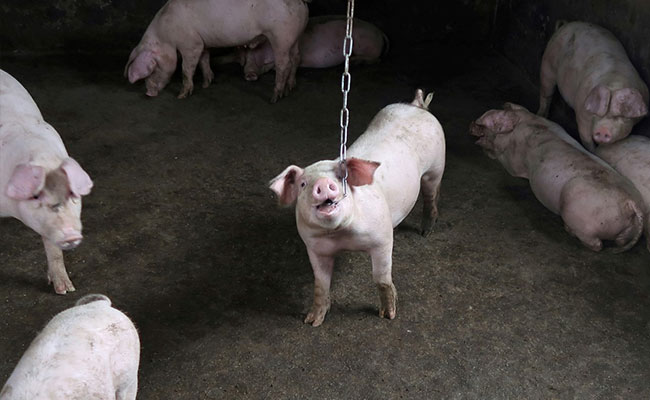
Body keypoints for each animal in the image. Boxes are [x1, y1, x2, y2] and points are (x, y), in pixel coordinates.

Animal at [124, 0, 309, 103]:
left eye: (151, 71)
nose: (148, 93)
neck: (166, 35)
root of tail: (301, 3)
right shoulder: (202, 42)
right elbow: (204, 60)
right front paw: (206, 84)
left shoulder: (190, 43)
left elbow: (186, 69)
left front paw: (181, 96)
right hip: (295, 37)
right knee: (297, 58)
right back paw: (290, 88)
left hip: (281, 36)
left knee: (284, 63)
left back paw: (274, 98)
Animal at [216, 15, 389, 81]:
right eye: (244, 59)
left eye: (253, 54)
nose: (250, 75)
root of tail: (380, 32)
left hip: (366, 44)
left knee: (377, 59)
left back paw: (355, 61)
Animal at [269, 89, 445, 326]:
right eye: (303, 184)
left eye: (340, 177)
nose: (322, 183)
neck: (341, 236)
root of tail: (416, 106)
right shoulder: (314, 247)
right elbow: (320, 284)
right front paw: (312, 321)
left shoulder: (382, 238)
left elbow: (381, 279)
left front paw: (388, 315)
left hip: (436, 167)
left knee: (431, 195)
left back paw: (426, 231)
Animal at [471, 103, 645, 252]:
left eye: (488, 122)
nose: (471, 124)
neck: (526, 121)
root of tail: (629, 203)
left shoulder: (514, 162)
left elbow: (504, 162)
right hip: (626, 231)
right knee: (619, 241)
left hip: (581, 217)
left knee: (596, 245)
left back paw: (569, 230)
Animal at [537, 21, 649, 151]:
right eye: (597, 113)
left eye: (623, 116)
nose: (602, 130)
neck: (615, 82)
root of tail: (566, 24)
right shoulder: (582, 110)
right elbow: (585, 137)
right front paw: (593, 151)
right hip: (548, 62)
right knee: (546, 93)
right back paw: (541, 115)